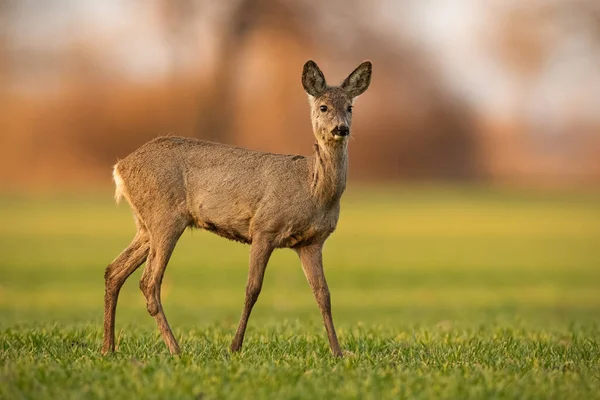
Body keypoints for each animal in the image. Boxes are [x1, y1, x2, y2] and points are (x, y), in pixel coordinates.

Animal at [103, 58, 370, 356]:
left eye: (350, 107)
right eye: (323, 107)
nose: (341, 129)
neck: (313, 189)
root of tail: (120, 167)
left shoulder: (311, 242)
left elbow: (323, 294)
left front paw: (337, 351)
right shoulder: (264, 228)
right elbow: (252, 289)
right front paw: (234, 346)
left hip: (145, 224)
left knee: (114, 271)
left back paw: (108, 347)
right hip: (165, 217)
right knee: (149, 281)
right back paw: (175, 349)